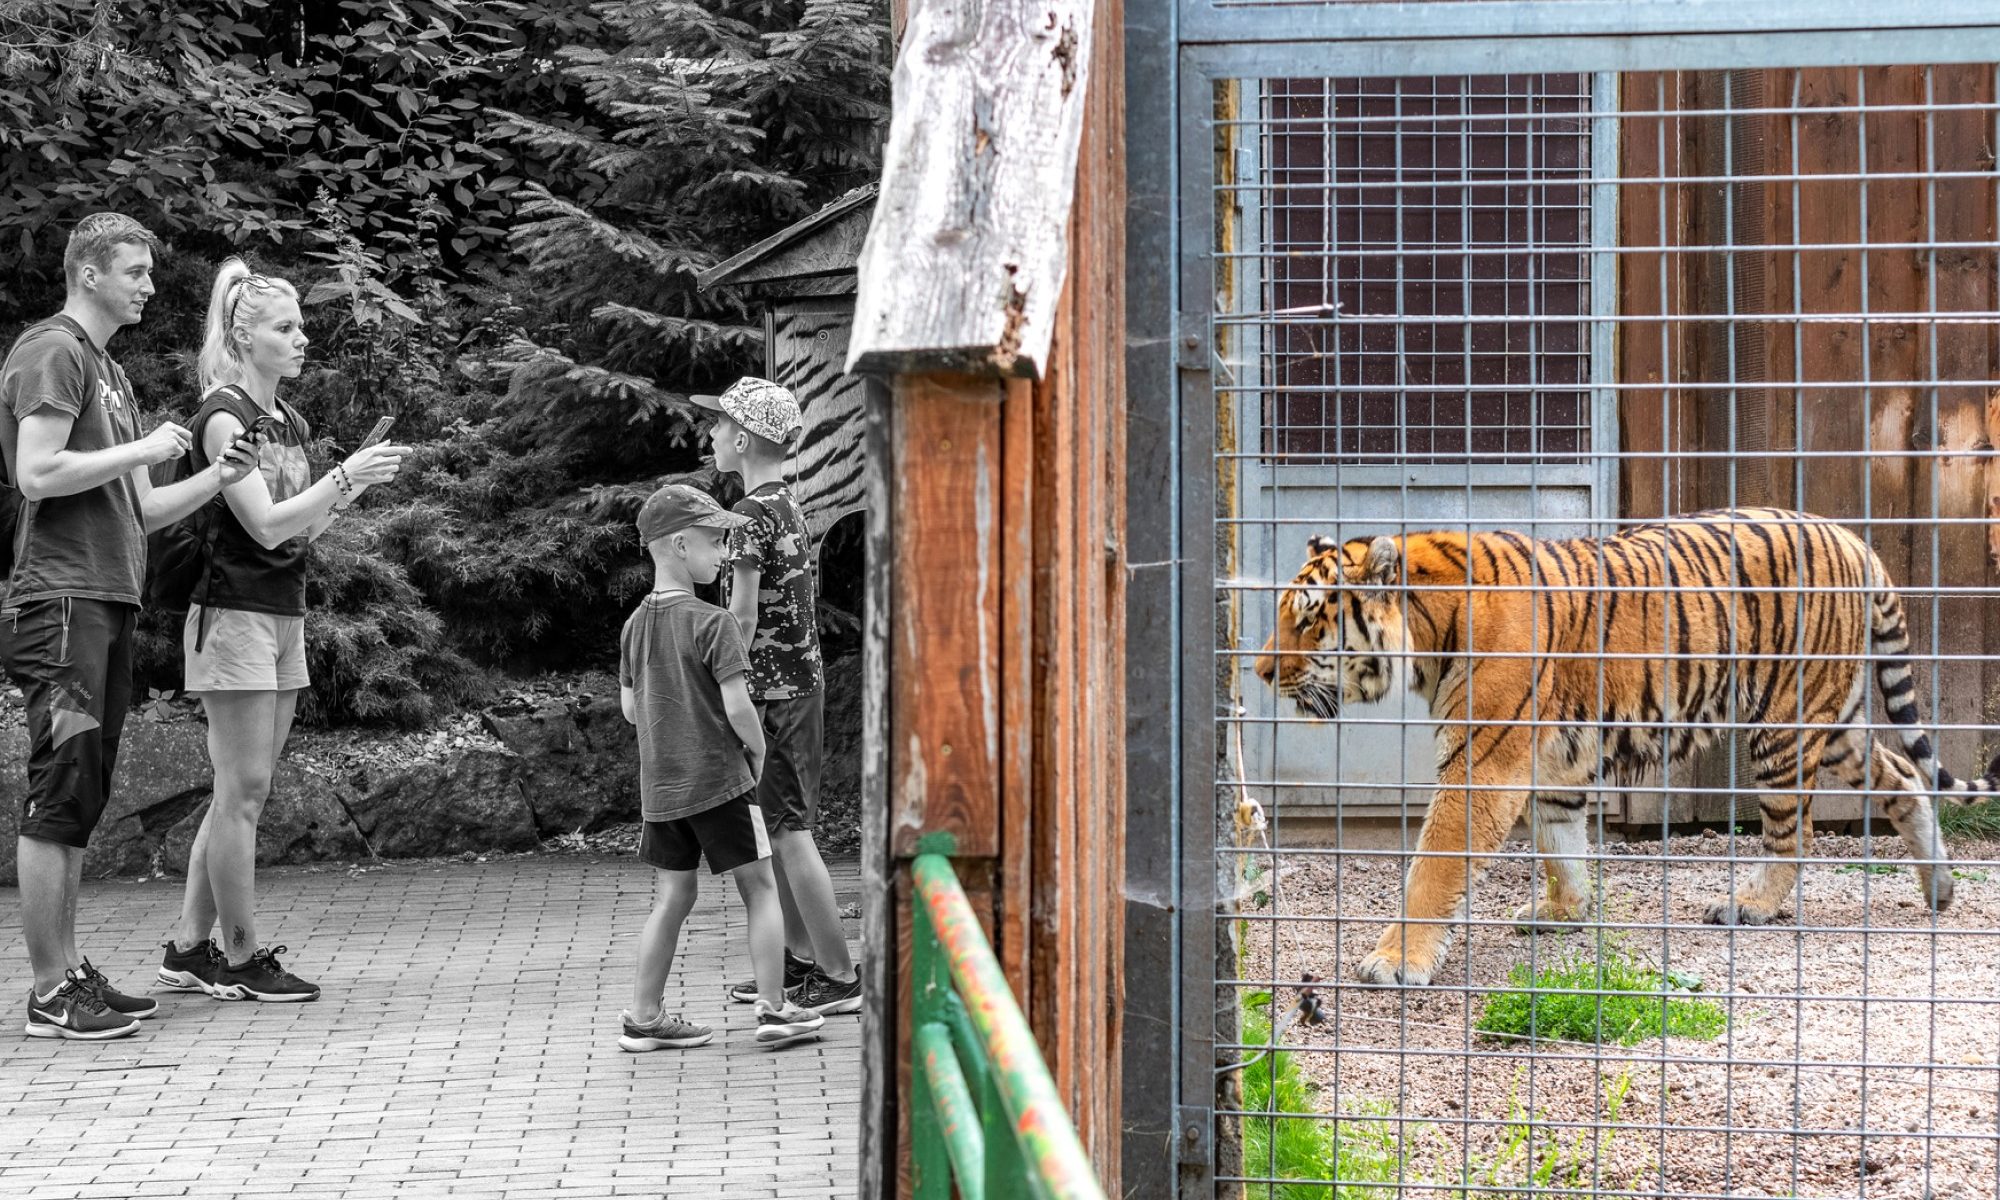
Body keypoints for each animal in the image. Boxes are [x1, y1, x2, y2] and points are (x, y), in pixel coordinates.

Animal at [1248, 506, 2000, 984]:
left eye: (1309, 622)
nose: (1259, 672)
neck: (1428, 635)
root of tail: (1853, 538)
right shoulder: (1549, 760)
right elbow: (1561, 843)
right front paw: (1563, 913)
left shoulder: (1480, 762)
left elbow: (1432, 869)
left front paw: (1397, 961)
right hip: (1833, 719)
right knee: (1903, 775)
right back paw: (1940, 886)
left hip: (1784, 724)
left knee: (1795, 835)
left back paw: (1751, 905)